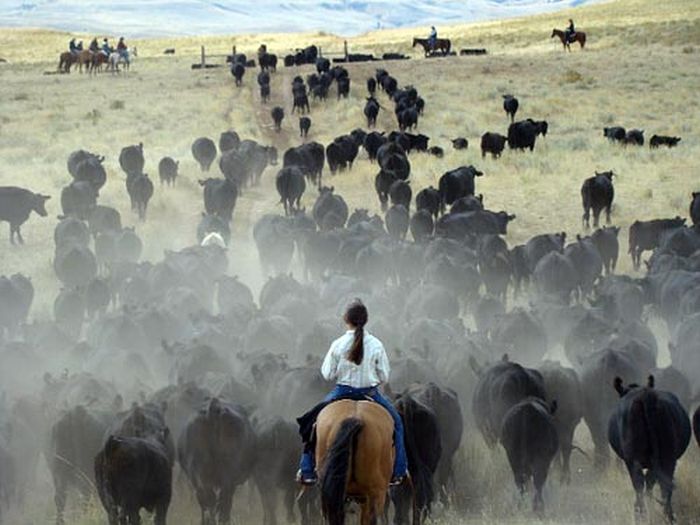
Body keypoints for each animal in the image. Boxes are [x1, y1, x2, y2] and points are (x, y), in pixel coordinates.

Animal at [608, 376, 692, 520]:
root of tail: (645, 395)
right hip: (667, 457)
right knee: (664, 484)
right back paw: (667, 516)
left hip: (634, 459)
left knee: (639, 484)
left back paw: (640, 514)